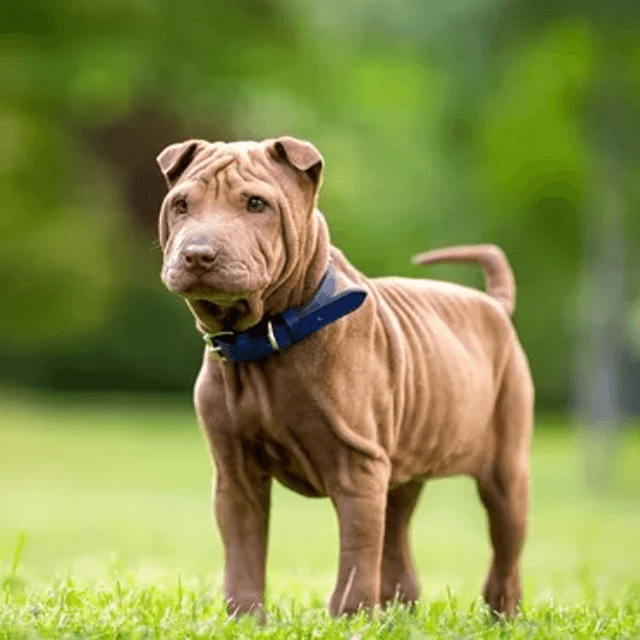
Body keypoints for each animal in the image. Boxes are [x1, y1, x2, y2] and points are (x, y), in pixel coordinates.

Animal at [156, 136, 536, 620]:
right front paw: (244, 619)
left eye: (256, 204)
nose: (198, 254)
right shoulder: (235, 474)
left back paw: (501, 614)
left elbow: (356, 553)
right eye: (181, 205)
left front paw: (350, 618)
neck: (265, 341)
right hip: (403, 466)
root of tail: (494, 305)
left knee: (504, 546)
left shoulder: (357, 467)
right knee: (397, 535)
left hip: (506, 467)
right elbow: (243, 551)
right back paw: (397, 613)